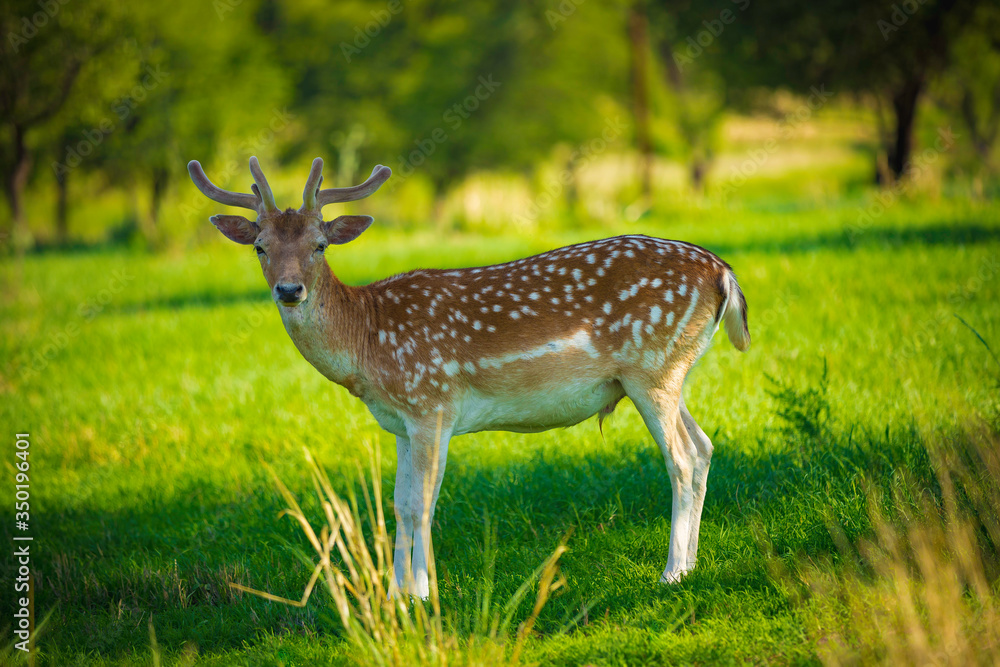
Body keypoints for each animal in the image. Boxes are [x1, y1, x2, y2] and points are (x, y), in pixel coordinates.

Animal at [188, 157, 752, 600]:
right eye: (259, 246)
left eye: (321, 244)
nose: (289, 290)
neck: (367, 343)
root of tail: (723, 273)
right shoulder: (400, 422)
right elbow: (399, 504)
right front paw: (395, 594)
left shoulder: (431, 401)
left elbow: (421, 503)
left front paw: (420, 594)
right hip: (668, 371)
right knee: (704, 447)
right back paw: (692, 564)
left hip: (651, 365)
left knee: (681, 458)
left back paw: (671, 572)